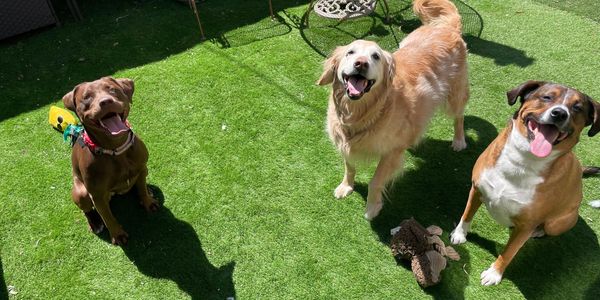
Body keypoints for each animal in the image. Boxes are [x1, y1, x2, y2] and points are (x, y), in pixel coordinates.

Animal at [318, 0, 468, 220]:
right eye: (350, 52)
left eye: (375, 56)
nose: (360, 64)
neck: (360, 112)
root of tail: (445, 27)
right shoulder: (345, 144)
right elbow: (349, 166)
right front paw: (346, 186)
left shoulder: (391, 152)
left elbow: (375, 182)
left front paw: (372, 208)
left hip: (455, 96)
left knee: (459, 117)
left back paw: (459, 141)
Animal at [450, 80, 600, 286]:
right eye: (547, 97)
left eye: (577, 108)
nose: (560, 113)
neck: (522, 161)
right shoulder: (476, 189)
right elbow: (466, 215)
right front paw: (459, 234)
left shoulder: (526, 225)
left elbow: (508, 252)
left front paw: (494, 274)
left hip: (558, 223)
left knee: (547, 227)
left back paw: (538, 232)